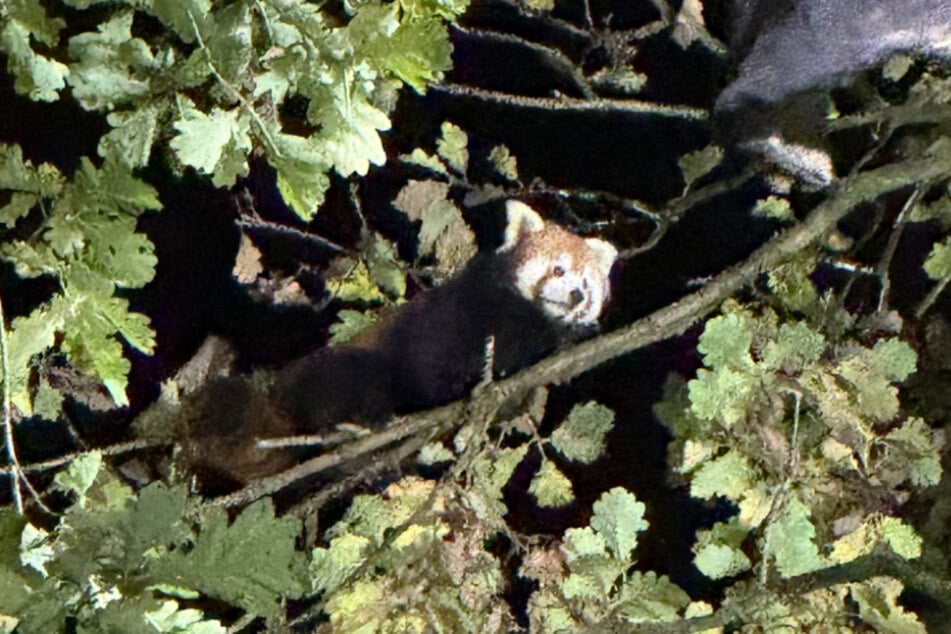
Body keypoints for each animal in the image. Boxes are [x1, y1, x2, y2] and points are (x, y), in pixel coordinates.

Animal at [178, 200, 616, 486]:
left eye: (588, 283)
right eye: (557, 269)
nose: (576, 295)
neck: (524, 322)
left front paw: (575, 336)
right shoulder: (458, 315)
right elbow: (434, 358)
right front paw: (456, 387)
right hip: (342, 370)